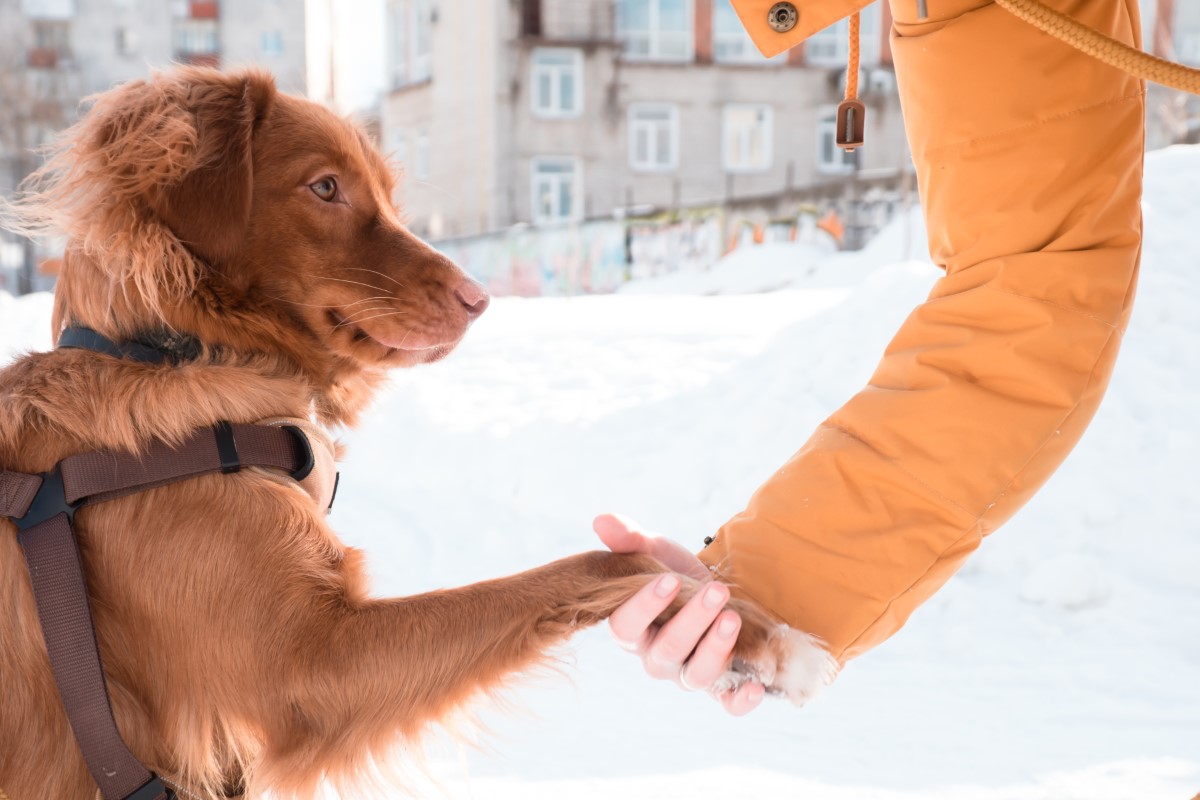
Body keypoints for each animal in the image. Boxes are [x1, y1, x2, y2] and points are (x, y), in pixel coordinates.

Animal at [0, 68, 825, 800]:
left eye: (388, 194)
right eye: (324, 187)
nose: (481, 298)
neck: (173, 355)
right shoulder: (309, 669)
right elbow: (592, 563)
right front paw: (763, 640)